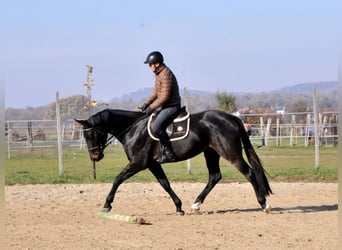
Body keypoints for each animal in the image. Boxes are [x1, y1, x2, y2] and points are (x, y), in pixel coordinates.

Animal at [75, 109, 272, 215]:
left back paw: (264, 204)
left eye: (92, 133)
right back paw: (196, 204)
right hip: (211, 153)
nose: (95, 157)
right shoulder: (153, 164)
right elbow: (165, 184)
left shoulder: (139, 163)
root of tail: (232, 118)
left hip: (230, 153)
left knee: (249, 173)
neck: (134, 129)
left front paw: (107, 205)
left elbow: (117, 179)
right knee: (215, 176)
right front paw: (179, 207)